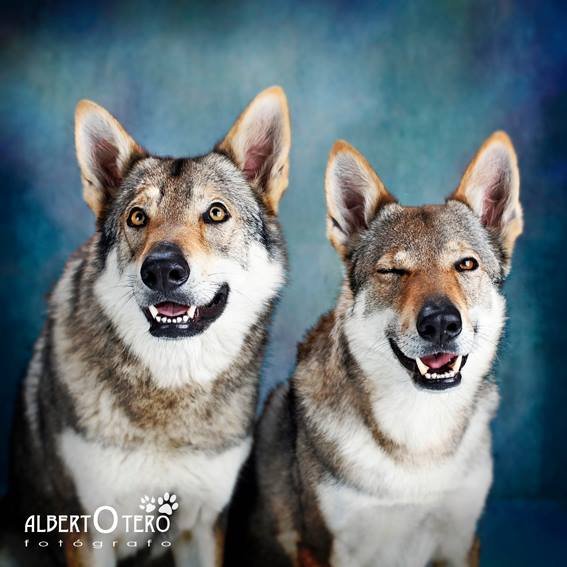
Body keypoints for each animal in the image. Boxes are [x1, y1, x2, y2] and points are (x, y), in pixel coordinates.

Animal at [8, 86, 291, 566]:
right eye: (138, 217)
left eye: (216, 213)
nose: (161, 269)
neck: (171, 389)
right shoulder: (87, 531)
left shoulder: (203, 525)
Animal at [227, 132, 523, 567]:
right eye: (392, 271)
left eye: (466, 265)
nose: (440, 323)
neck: (418, 437)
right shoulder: (325, 548)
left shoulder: (460, 542)